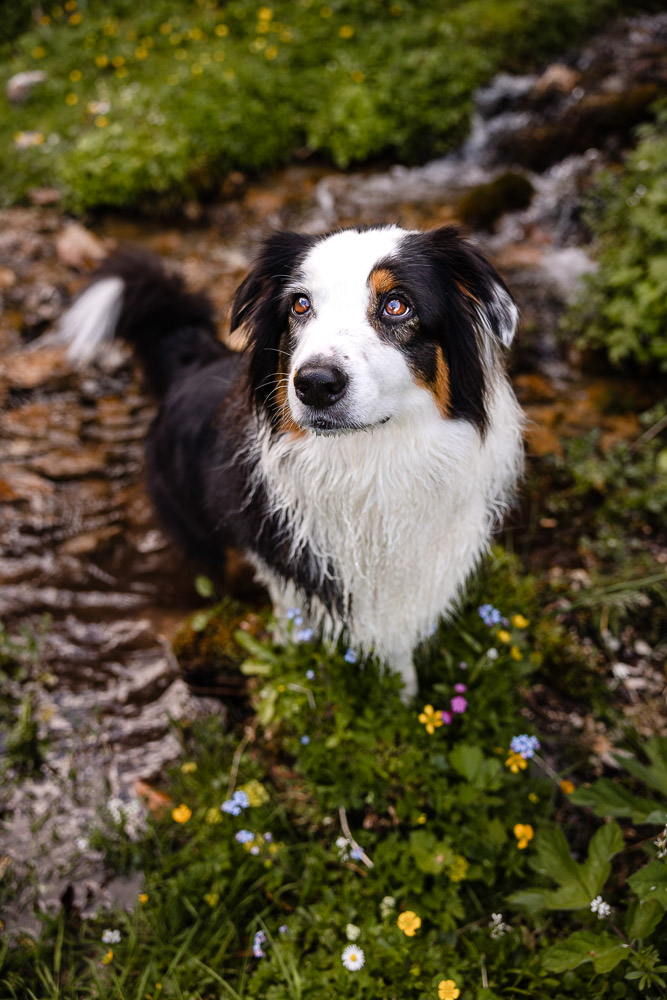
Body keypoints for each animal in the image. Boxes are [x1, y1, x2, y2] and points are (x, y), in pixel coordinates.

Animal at [60, 225, 524, 696]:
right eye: (300, 304)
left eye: (397, 305)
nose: (315, 384)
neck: (367, 462)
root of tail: (191, 364)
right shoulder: (283, 554)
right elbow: (292, 622)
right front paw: (292, 665)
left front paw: (404, 695)